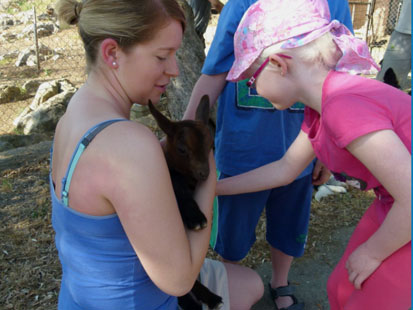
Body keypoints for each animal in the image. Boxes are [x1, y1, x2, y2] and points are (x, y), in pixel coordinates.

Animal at [146, 96, 220, 310]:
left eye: (211, 145)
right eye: (181, 149)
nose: (205, 173)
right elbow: (178, 186)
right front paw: (196, 218)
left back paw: (211, 298)